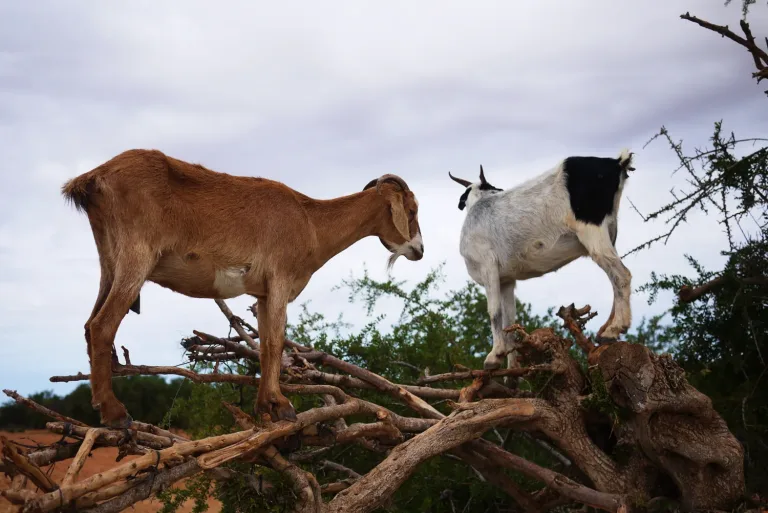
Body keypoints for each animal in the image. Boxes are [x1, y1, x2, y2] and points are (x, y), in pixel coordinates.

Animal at [62, 149, 424, 427]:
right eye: (411, 210)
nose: (419, 250)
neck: (311, 222)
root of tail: (92, 179)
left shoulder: (262, 293)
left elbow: (264, 345)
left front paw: (266, 407)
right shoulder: (280, 278)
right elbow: (276, 342)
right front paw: (283, 406)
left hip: (110, 261)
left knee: (89, 324)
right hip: (137, 256)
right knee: (102, 324)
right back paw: (116, 415)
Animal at [448, 150, 635, 370]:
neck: (480, 205)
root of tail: (616, 164)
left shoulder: (488, 268)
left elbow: (494, 312)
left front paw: (494, 356)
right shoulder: (506, 280)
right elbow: (509, 320)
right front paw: (512, 371)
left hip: (592, 231)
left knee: (621, 274)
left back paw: (612, 330)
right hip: (610, 232)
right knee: (614, 276)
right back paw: (606, 330)